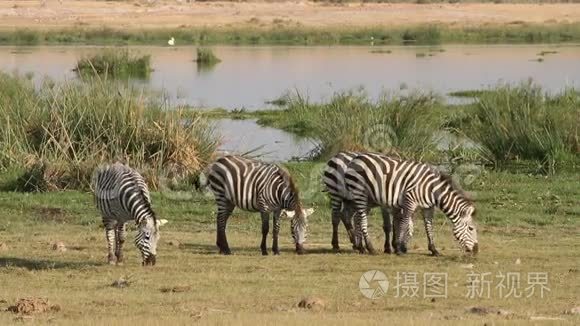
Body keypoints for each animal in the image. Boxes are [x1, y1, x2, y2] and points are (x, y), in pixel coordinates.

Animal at [344, 152, 476, 256]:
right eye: (471, 228)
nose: (476, 250)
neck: (431, 190)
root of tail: (356, 158)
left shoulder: (428, 207)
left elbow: (428, 227)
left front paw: (433, 249)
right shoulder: (410, 202)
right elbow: (404, 223)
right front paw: (399, 248)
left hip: (368, 199)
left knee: (357, 218)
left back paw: (361, 248)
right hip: (359, 192)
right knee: (362, 219)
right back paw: (370, 248)